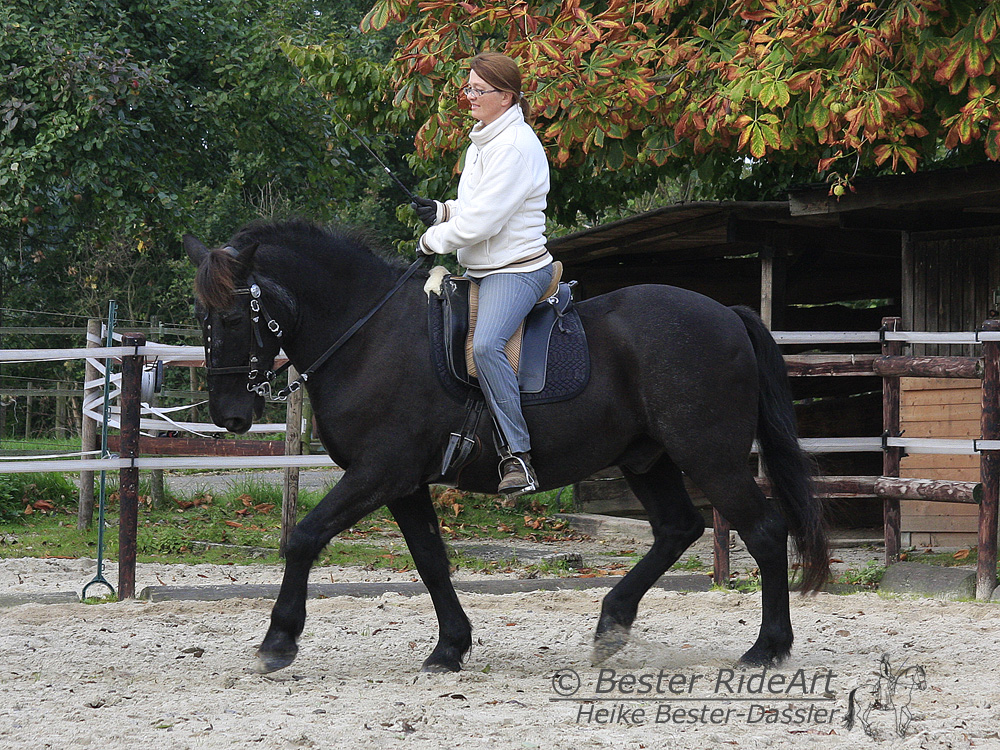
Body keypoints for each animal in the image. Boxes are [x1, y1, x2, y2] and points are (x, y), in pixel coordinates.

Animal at [186, 220, 828, 680]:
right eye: (202, 317)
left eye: (233, 316)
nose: (230, 415)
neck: (367, 335)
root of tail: (726, 314)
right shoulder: (404, 482)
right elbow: (431, 559)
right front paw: (449, 648)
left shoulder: (377, 473)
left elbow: (303, 536)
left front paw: (278, 641)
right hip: (647, 457)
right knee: (678, 528)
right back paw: (612, 627)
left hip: (710, 456)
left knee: (764, 530)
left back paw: (767, 648)